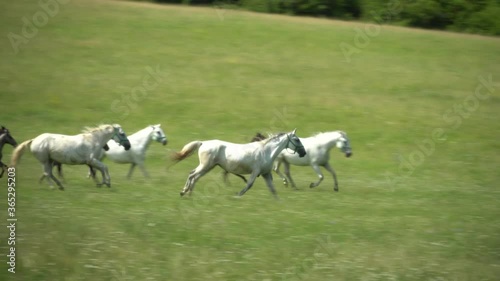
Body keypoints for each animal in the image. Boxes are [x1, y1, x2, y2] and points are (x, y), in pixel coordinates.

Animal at [172, 129, 306, 197]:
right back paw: (184, 192)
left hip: (208, 167)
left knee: (194, 176)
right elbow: (249, 185)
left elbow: (272, 189)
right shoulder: (256, 172)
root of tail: (203, 143)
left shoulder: (266, 173)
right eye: (296, 139)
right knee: (192, 175)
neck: (266, 151)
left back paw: (188, 193)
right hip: (206, 166)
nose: (303, 152)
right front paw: (237, 195)